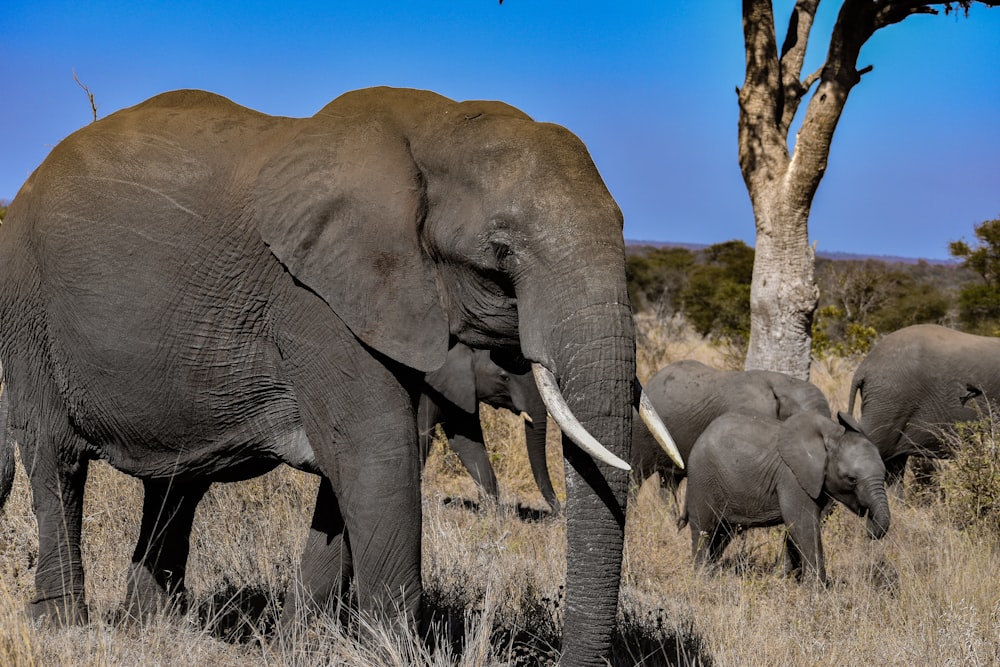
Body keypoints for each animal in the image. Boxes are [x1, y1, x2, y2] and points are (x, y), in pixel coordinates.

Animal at [418, 342, 560, 516]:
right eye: (504, 377)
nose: (557, 511)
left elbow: (466, 442)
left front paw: (490, 516)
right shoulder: (427, 387)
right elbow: (421, 434)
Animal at [680, 412, 892, 584]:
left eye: (884, 473)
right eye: (851, 479)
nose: (870, 526)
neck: (830, 434)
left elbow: (798, 527)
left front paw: (780, 579)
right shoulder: (792, 477)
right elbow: (802, 523)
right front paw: (816, 590)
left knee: (723, 533)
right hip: (702, 479)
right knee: (704, 529)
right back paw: (702, 578)